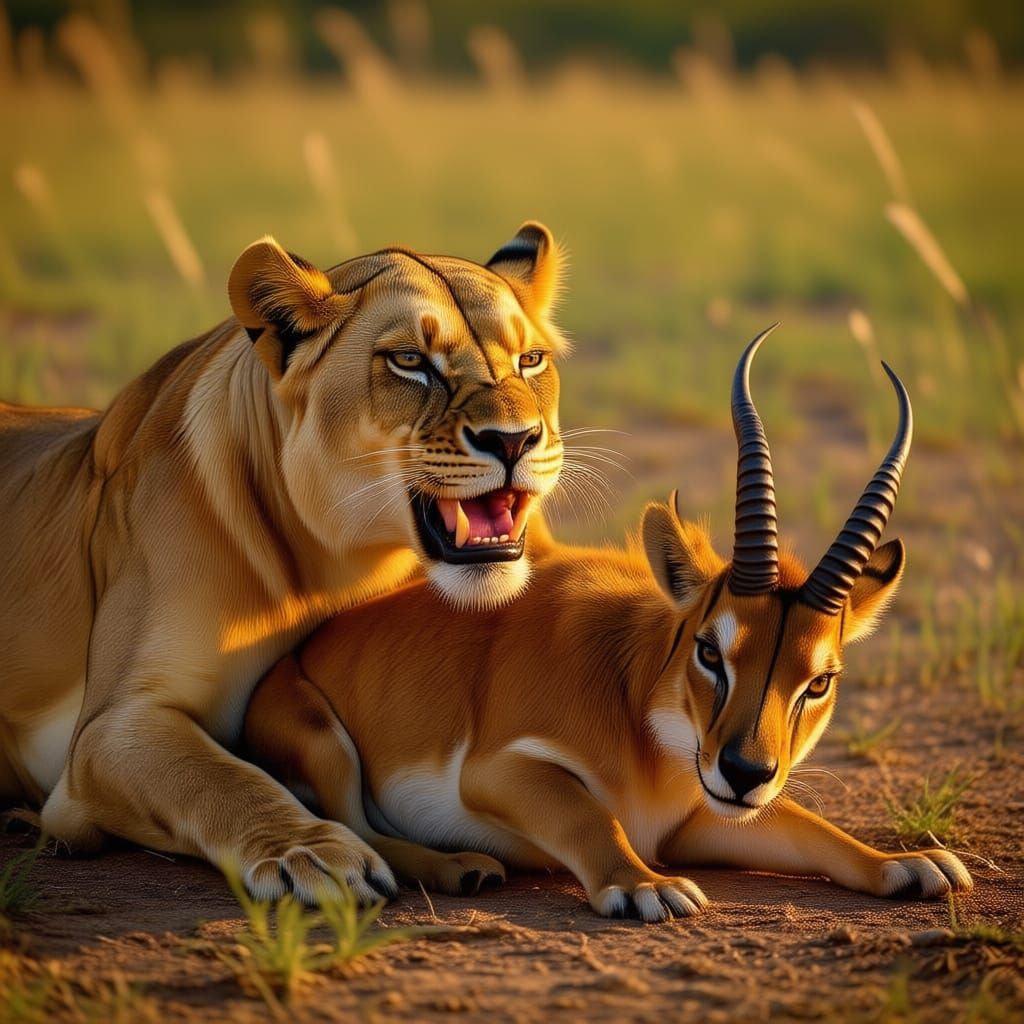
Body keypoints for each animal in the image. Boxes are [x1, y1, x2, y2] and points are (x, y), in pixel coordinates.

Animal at [0, 223, 566, 903]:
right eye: (410, 362)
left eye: (530, 360)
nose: (514, 440)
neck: (342, 564)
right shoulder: (108, 733)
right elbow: (220, 779)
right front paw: (312, 854)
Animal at [244, 328, 972, 921]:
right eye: (710, 650)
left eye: (820, 679)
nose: (744, 771)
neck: (640, 719)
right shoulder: (504, 771)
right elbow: (591, 817)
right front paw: (647, 887)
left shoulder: (700, 820)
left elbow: (808, 825)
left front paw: (908, 865)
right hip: (326, 745)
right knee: (355, 831)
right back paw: (462, 868)